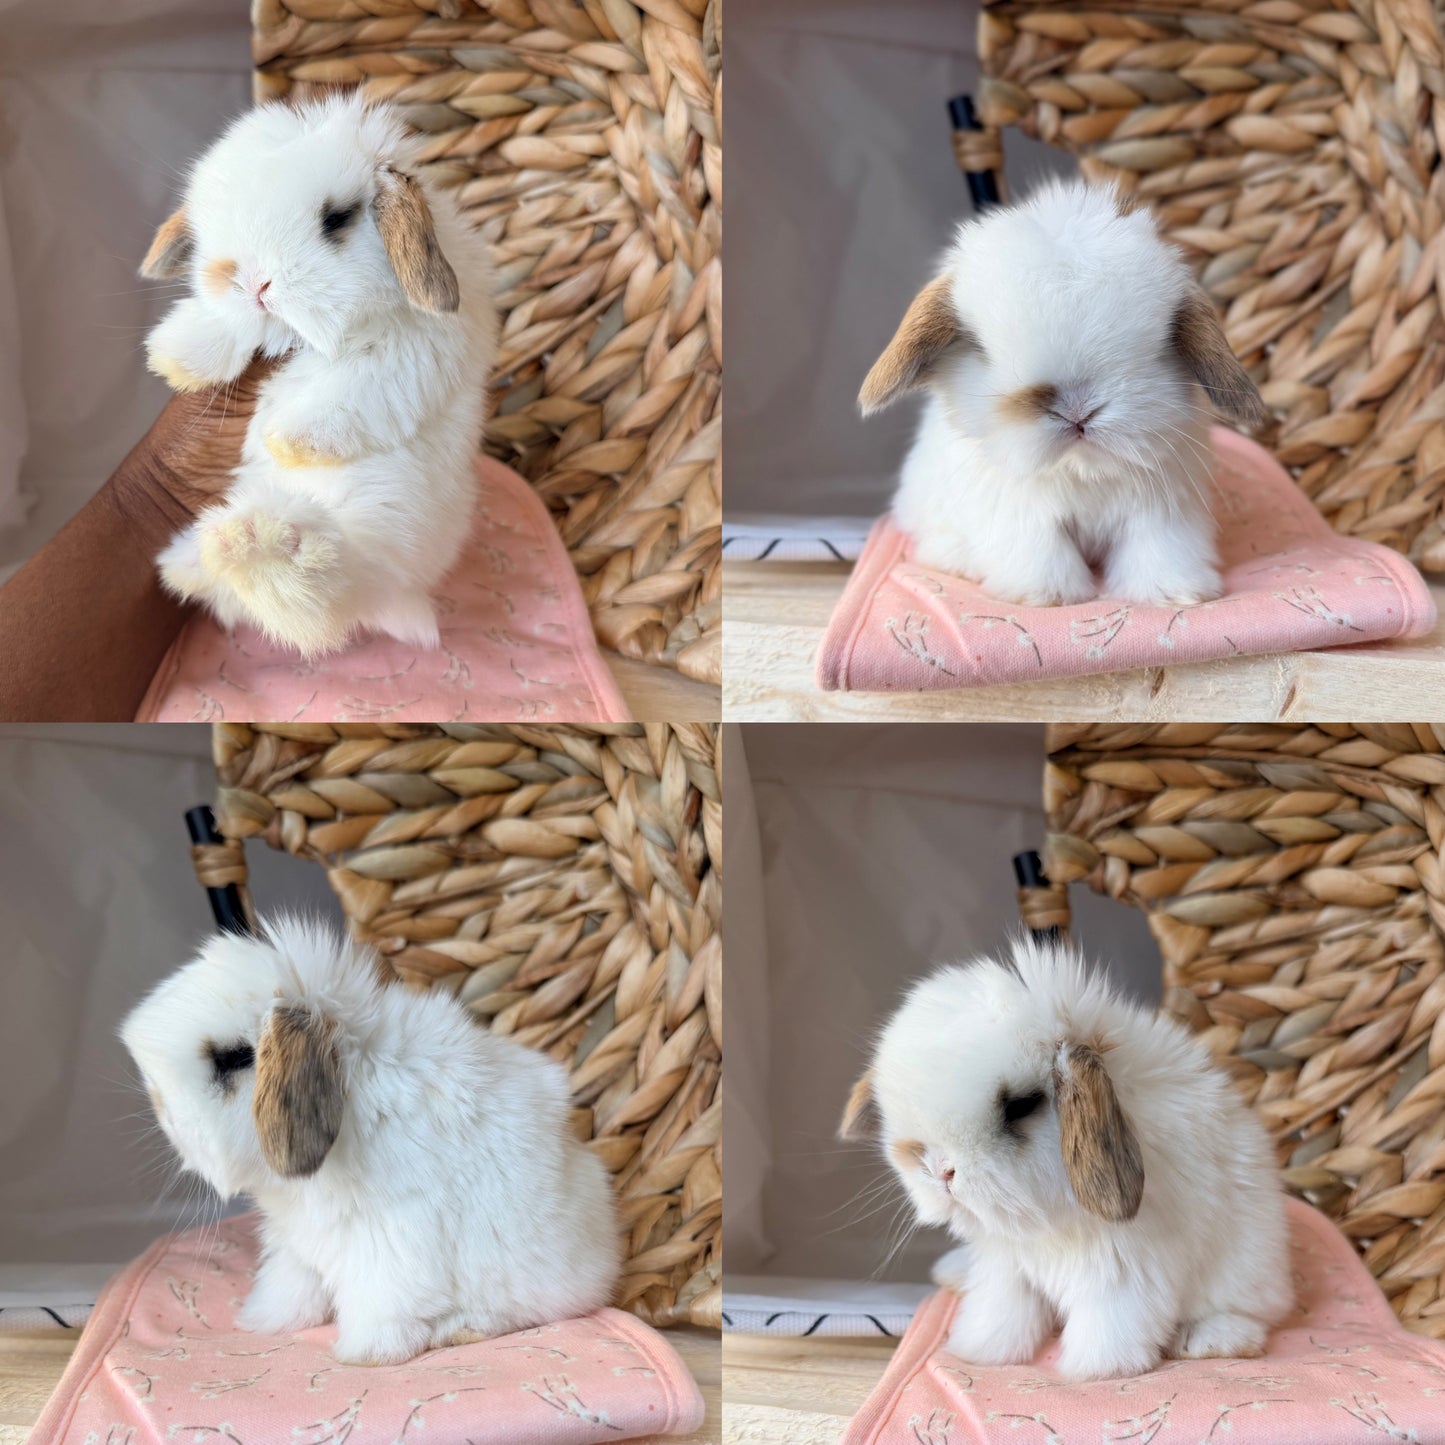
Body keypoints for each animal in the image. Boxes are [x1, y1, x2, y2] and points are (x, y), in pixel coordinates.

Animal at [120, 916, 621, 1366]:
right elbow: (290, 1286)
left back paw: (455, 1330)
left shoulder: (390, 1241)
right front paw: (264, 1321)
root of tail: (605, 1257)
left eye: (235, 1058)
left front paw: (365, 1355)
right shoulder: (295, 1244)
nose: (161, 1108)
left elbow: (384, 1305)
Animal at [139, 93, 498, 657]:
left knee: (324, 597)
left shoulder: (409, 354)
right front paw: (176, 357)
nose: (253, 283)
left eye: (337, 218)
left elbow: (350, 392)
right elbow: (225, 329)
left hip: (382, 534)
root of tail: (397, 601)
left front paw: (287, 440)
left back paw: (254, 545)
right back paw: (193, 563)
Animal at [840, 935, 1290, 1381]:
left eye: (1022, 1105)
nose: (941, 1171)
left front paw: (1095, 1371)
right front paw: (980, 1353)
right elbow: (1002, 1313)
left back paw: (1208, 1339)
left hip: (1245, 1270)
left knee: (1253, 1315)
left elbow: (1108, 1323)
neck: (1044, 1225)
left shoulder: (1123, 1273)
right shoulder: (1009, 1269)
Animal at [859, 179, 1267, 608]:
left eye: (1160, 343)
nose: (1077, 410)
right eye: (981, 349)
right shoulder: (1023, 518)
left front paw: (1177, 593)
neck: (1081, 469)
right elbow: (1042, 552)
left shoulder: (1162, 514)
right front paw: (1046, 597)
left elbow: (1158, 550)